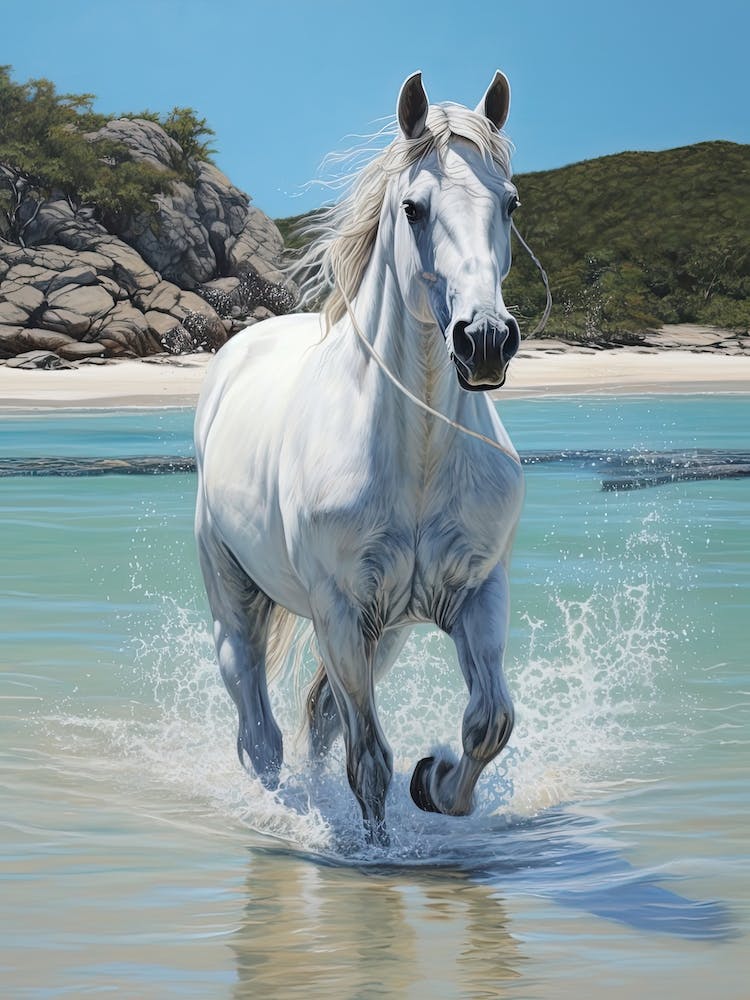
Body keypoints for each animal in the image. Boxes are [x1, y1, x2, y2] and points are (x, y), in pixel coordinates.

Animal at [194, 71, 525, 847]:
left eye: (510, 202)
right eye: (413, 207)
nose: (485, 341)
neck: (419, 459)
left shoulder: (477, 592)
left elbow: (488, 724)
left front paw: (435, 783)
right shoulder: (340, 612)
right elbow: (370, 762)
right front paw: (375, 856)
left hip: (390, 632)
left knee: (316, 725)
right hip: (238, 604)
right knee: (261, 737)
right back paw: (284, 811)